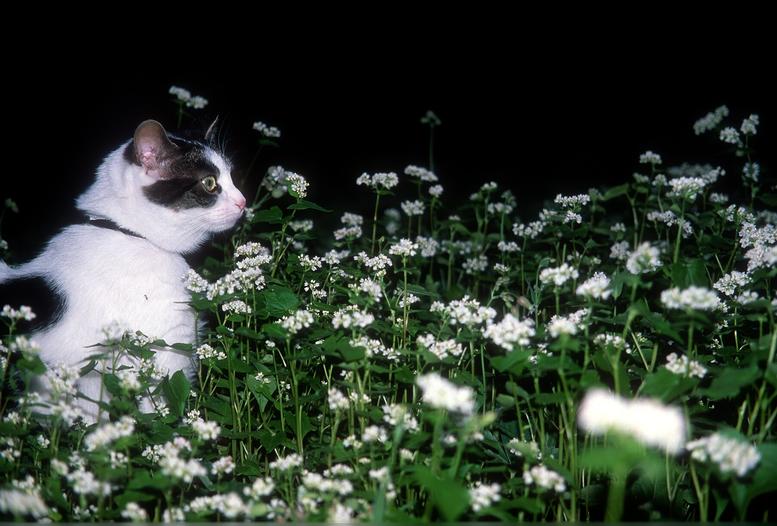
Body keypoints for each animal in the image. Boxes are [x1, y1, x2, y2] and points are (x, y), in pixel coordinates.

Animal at [0, 119, 246, 422]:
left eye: (231, 175)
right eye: (210, 183)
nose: (243, 202)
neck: (129, 233)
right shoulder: (166, 349)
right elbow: (163, 412)